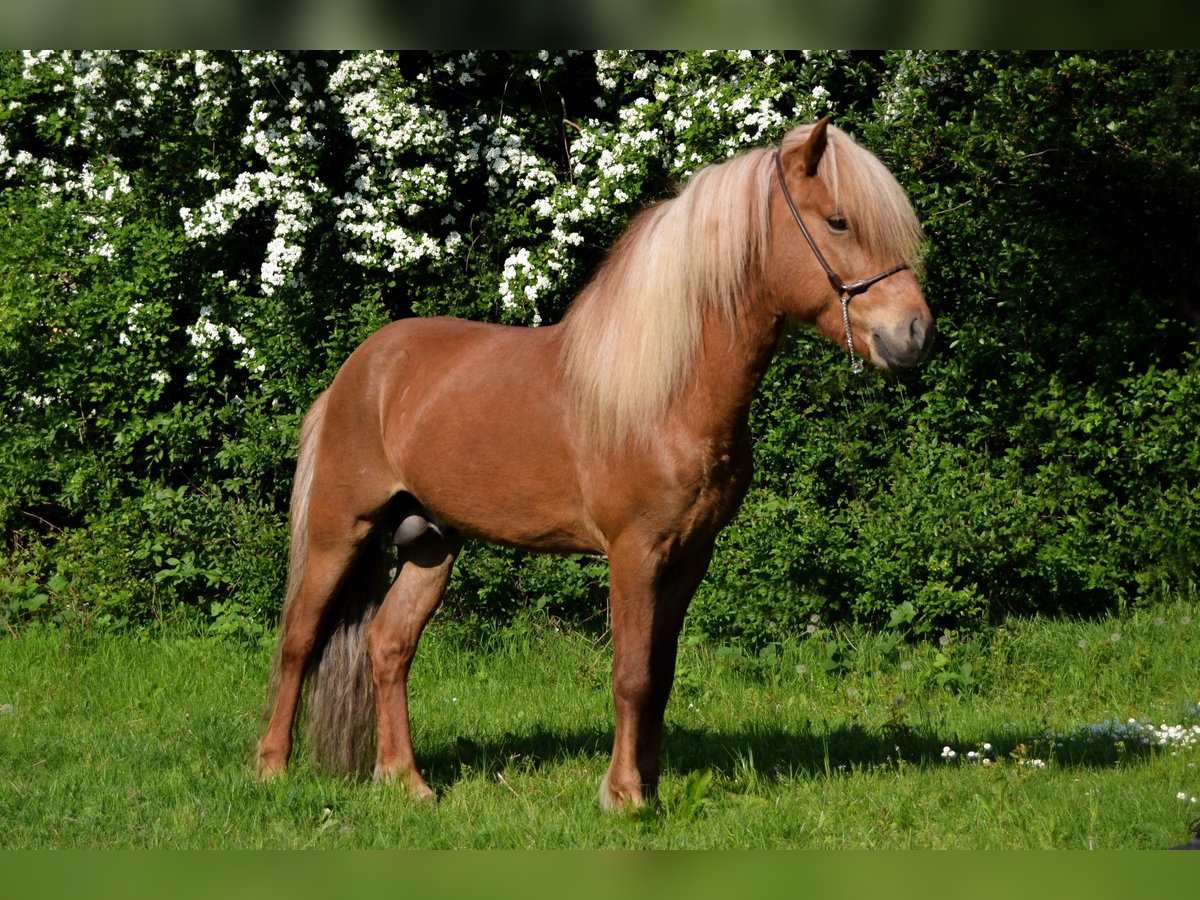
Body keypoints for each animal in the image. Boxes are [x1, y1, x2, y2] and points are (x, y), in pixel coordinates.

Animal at [253, 118, 931, 811]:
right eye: (839, 221)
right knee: (299, 639)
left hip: (431, 544)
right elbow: (630, 674)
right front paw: (623, 796)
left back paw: (406, 782)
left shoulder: (690, 556)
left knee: (388, 645)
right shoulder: (635, 552)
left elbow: (660, 674)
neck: (663, 394)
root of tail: (356, 373)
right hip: (340, 530)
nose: (914, 334)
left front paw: (650, 786)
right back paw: (272, 768)